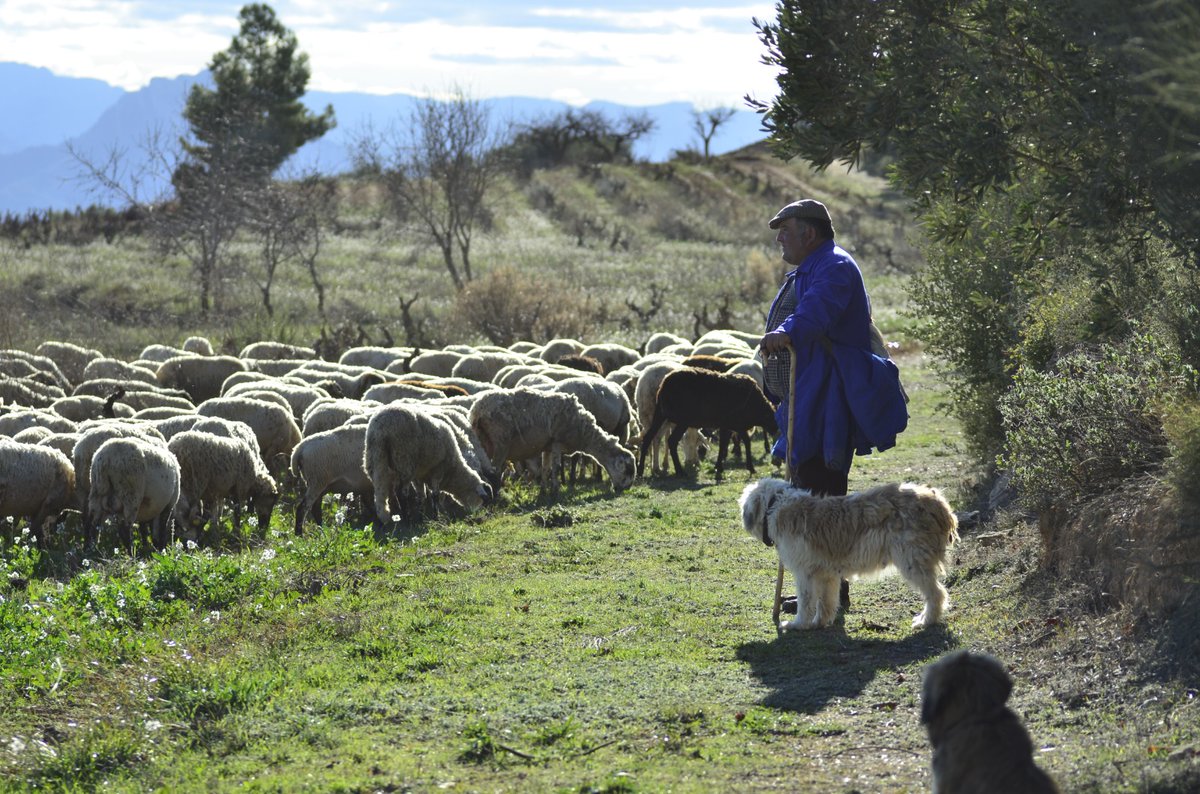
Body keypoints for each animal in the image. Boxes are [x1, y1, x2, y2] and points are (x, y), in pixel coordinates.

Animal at [465, 386, 638, 494]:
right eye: (627, 470)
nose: (625, 489)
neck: (584, 432)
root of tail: (477, 409)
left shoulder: (547, 447)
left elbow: (545, 468)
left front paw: (543, 490)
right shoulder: (557, 442)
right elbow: (556, 467)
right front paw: (555, 490)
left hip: (483, 441)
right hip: (500, 441)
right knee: (495, 470)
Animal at [734, 479, 960, 633]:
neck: (776, 504)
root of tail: (939, 504)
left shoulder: (805, 574)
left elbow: (806, 601)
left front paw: (798, 624)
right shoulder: (827, 575)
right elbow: (825, 602)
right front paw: (819, 623)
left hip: (913, 561)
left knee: (936, 594)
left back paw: (926, 620)